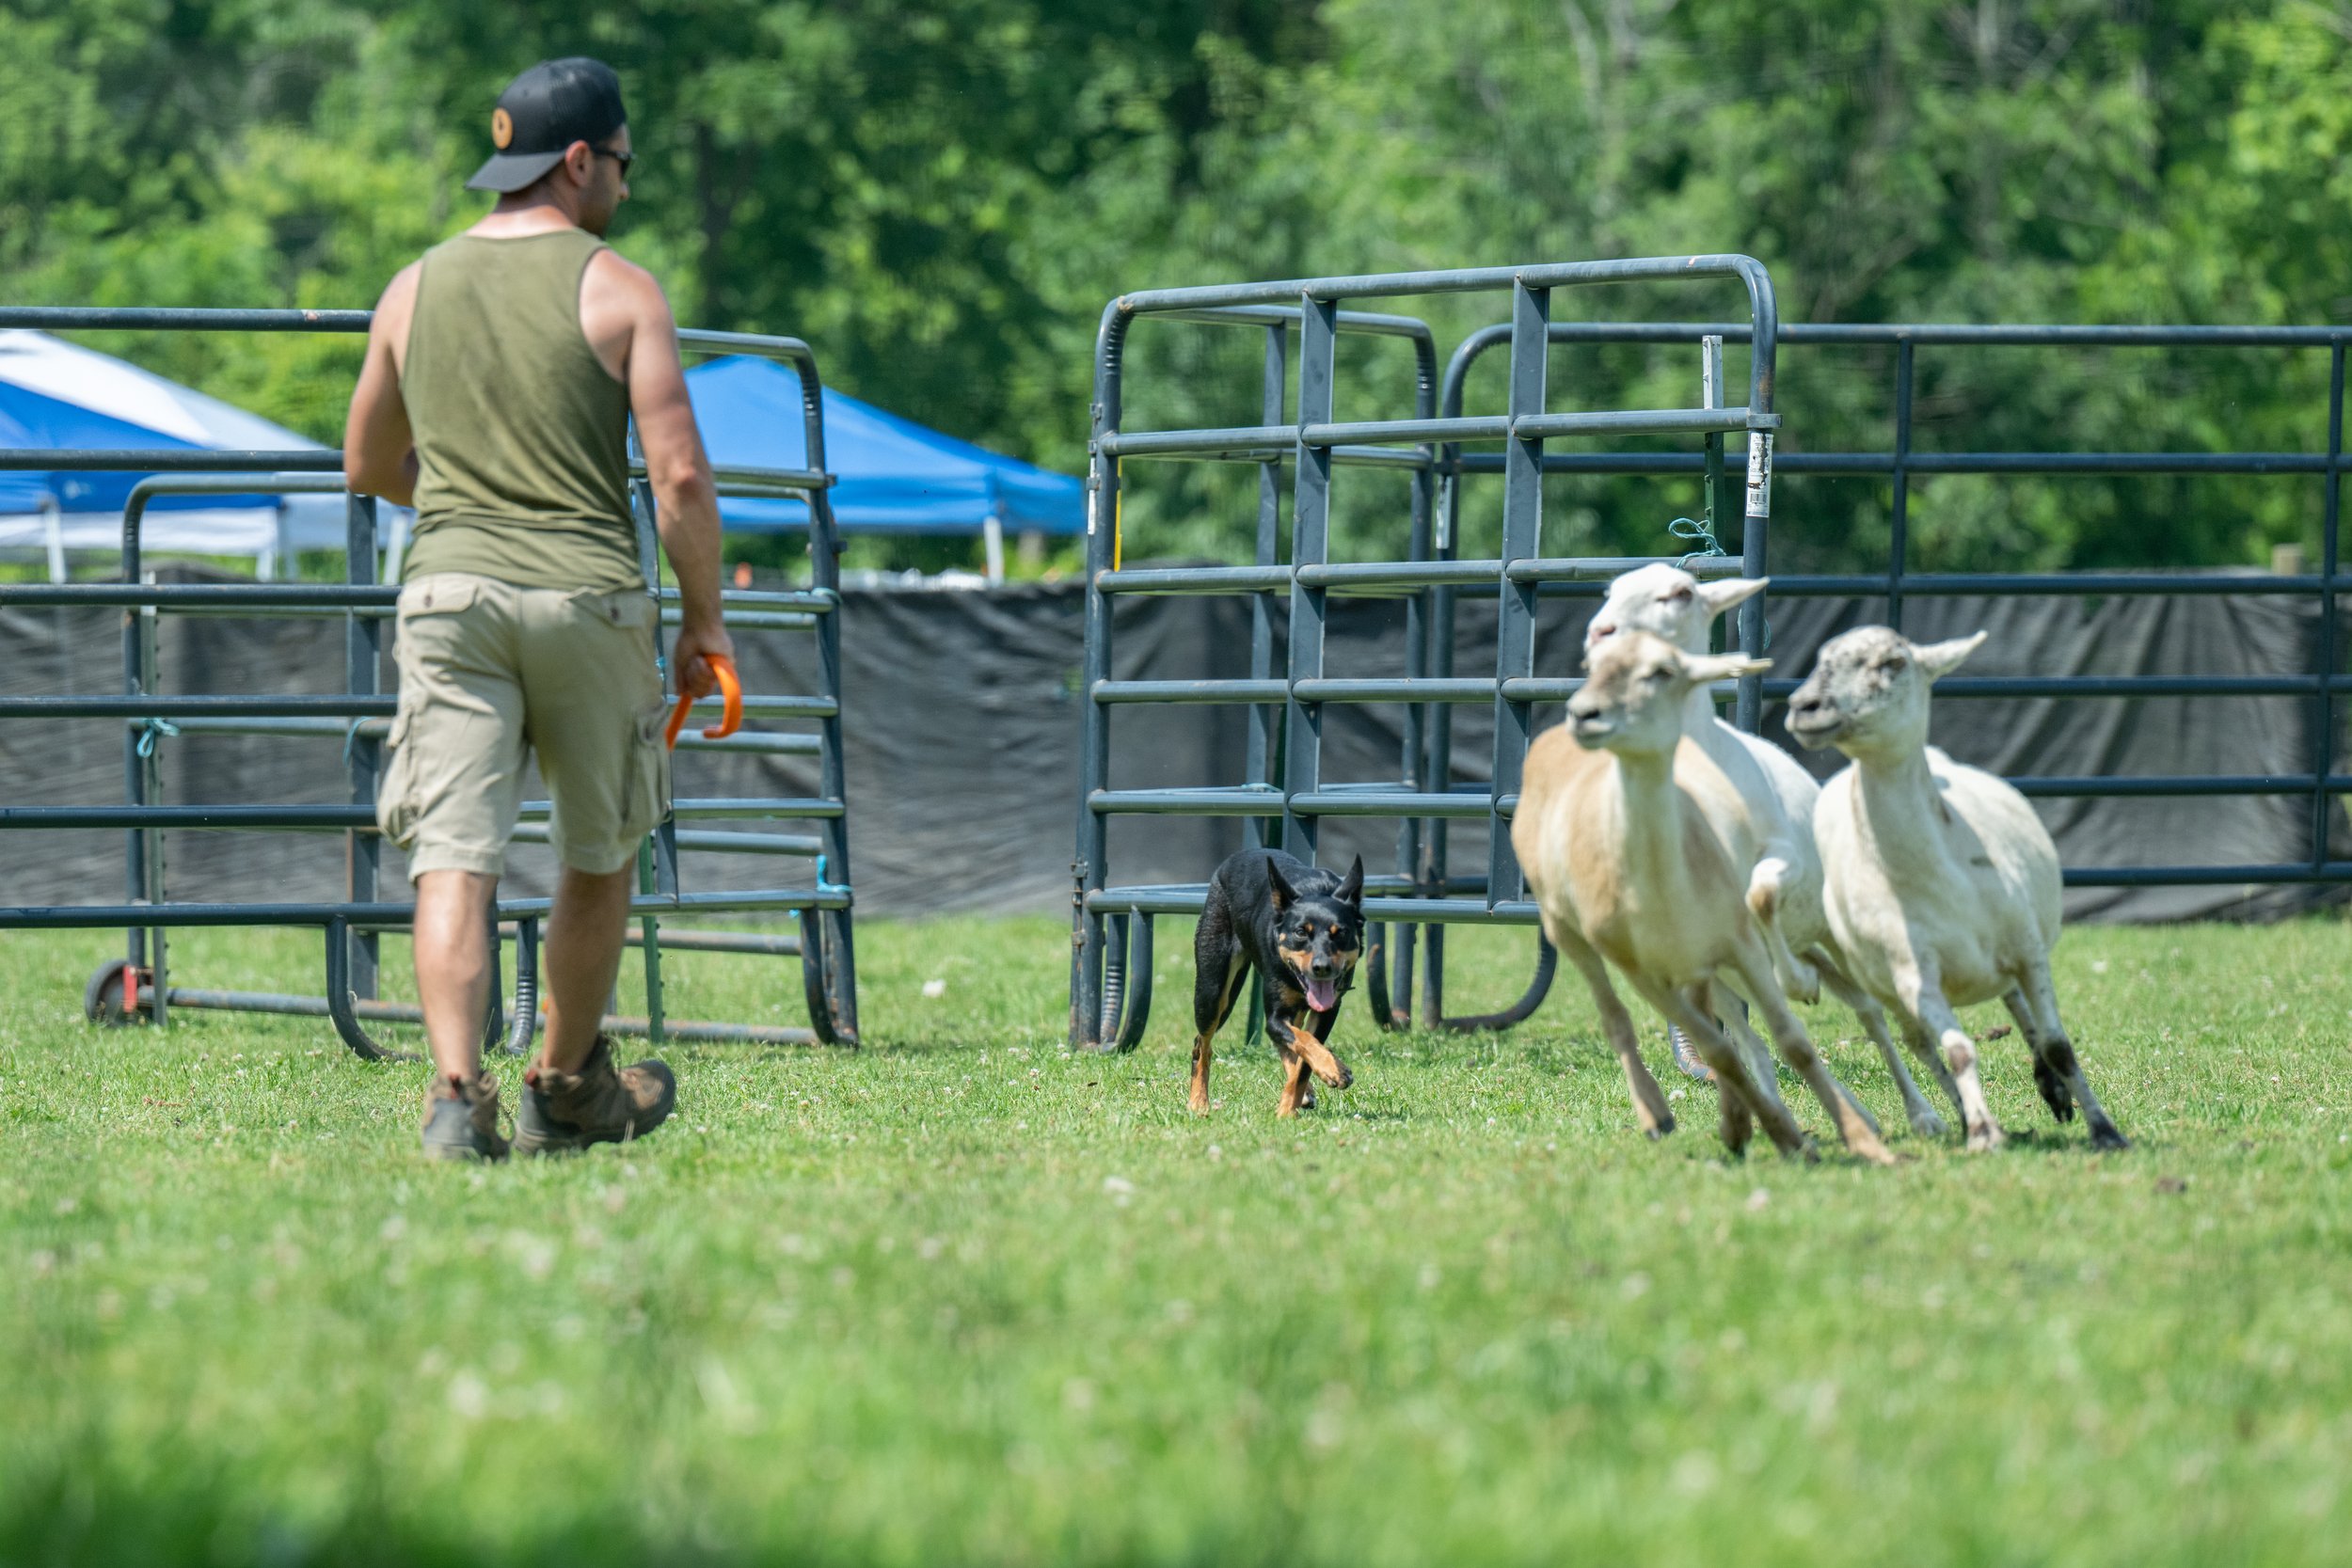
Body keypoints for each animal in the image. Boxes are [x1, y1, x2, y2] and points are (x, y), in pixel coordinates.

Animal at [1512, 630, 1896, 1164]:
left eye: (1662, 671)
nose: (1584, 714)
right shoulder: (1655, 968)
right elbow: (1724, 1047)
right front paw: (1774, 1131)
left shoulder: (1741, 938)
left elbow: (1791, 1036)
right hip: (1572, 932)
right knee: (1629, 1019)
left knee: (1856, 1010)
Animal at [1587, 564, 1961, 1137]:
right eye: (1610, 591)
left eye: (1680, 593)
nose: (1601, 632)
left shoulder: (1785, 857)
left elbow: (1760, 894)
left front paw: (1800, 984)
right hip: (1738, 966)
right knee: (1764, 1042)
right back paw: (1838, 1116)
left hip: (1829, 933)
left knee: (1876, 1016)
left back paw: (1924, 1113)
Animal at [1785, 626, 2128, 1152]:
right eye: (1821, 659)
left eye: (1893, 663)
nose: (1804, 706)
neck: (1929, 871)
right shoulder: (1914, 974)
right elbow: (1959, 1051)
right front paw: (1983, 1130)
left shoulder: (2029, 950)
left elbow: (2059, 1045)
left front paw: (2104, 1129)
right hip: (1885, 982)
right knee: (1920, 1044)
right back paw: (1965, 1114)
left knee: (2016, 1003)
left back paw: (2051, 1088)